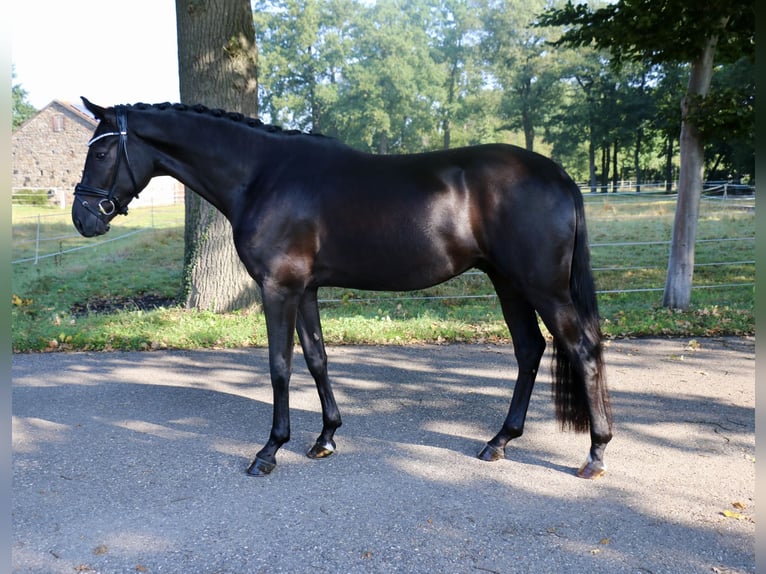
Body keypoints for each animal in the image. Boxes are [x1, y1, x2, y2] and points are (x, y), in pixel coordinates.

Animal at [72, 98, 612, 479]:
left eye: (100, 150)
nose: (82, 218)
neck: (263, 175)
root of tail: (558, 174)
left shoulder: (278, 289)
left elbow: (280, 366)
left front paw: (270, 450)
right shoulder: (305, 289)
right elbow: (317, 359)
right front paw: (326, 438)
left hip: (542, 287)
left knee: (581, 347)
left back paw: (595, 452)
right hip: (508, 282)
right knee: (530, 349)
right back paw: (499, 441)